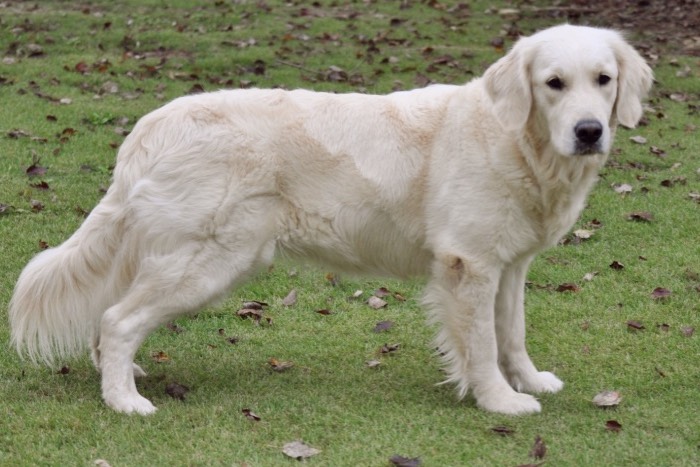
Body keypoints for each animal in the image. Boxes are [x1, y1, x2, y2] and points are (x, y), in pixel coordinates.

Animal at [9, 23, 652, 414]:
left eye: (604, 80)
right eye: (553, 84)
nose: (589, 131)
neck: (521, 143)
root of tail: (150, 124)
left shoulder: (508, 264)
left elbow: (511, 333)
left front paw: (531, 380)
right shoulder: (468, 264)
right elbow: (479, 343)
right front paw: (500, 401)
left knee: (112, 321)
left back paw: (122, 378)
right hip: (208, 261)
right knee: (117, 319)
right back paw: (124, 401)